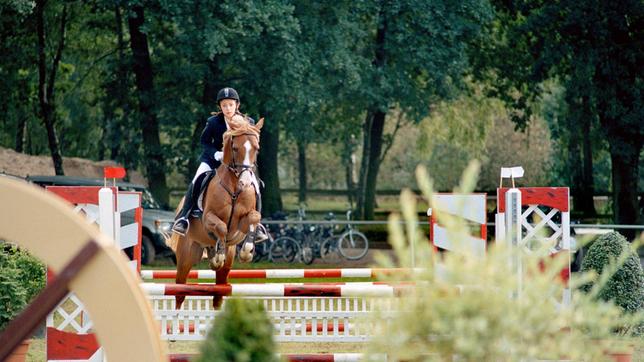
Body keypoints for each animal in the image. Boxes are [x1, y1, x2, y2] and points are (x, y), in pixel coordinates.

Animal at [169, 116, 266, 308]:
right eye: (235, 148)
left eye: (257, 148)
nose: (245, 182)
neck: (235, 188)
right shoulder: (208, 219)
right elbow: (221, 227)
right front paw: (218, 255)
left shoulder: (242, 222)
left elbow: (253, 218)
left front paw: (247, 251)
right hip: (185, 258)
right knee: (179, 292)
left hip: (225, 265)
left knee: (218, 294)